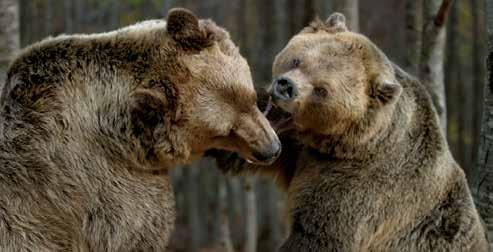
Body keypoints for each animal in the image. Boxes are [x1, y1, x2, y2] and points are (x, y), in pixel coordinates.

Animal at [215, 13, 488, 252]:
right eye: (298, 60)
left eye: (322, 90)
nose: (286, 87)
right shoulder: (296, 149)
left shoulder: (361, 188)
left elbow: (318, 234)